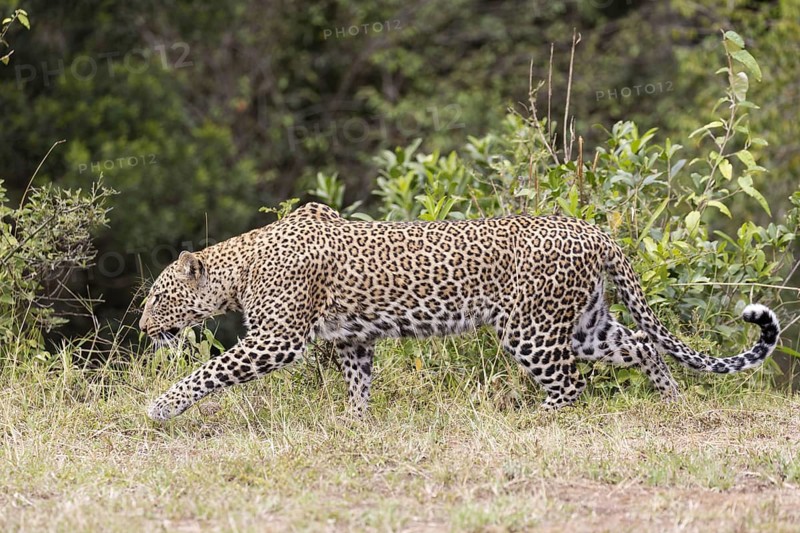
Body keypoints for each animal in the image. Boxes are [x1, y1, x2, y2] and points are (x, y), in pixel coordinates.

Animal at [140, 202, 780, 421]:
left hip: (529, 327)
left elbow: (207, 372)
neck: (238, 269)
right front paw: (353, 423)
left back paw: (531, 419)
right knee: (643, 344)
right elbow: (358, 382)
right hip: (586, 323)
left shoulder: (276, 339)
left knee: (570, 384)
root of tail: (594, 231)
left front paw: (162, 407)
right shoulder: (352, 338)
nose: (143, 327)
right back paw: (673, 403)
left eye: (158, 297)